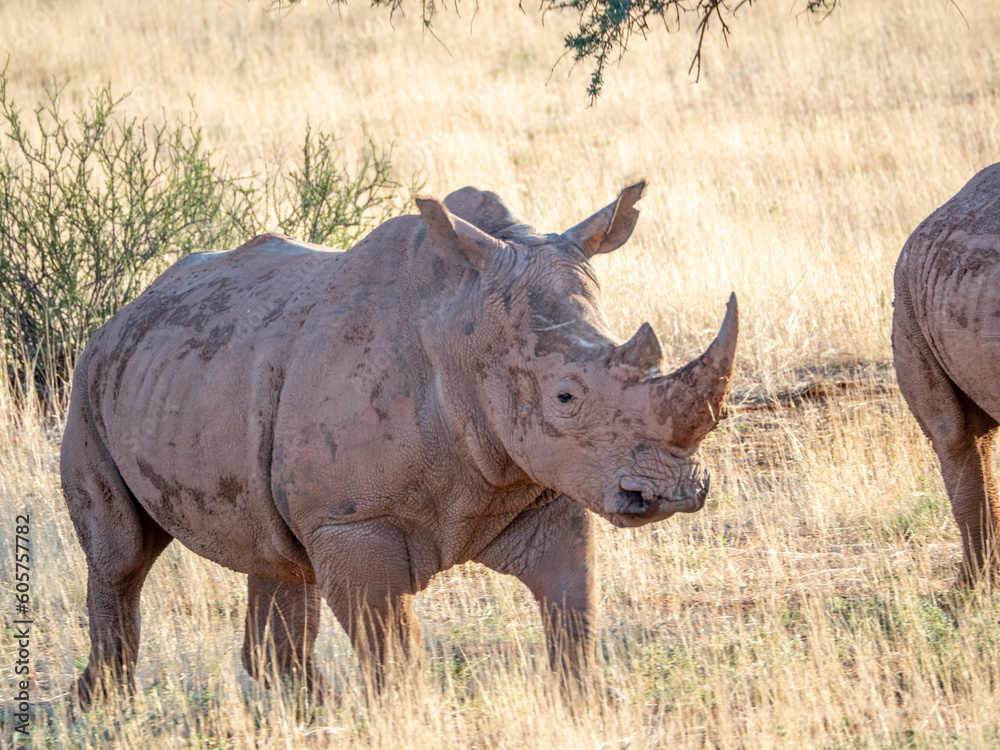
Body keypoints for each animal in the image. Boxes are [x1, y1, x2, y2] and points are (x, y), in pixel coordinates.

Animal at [61, 181, 738, 704]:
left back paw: (307, 709)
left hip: (199, 373)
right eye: (565, 397)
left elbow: (574, 607)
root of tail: (130, 306)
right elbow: (393, 644)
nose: (677, 493)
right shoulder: (352, 520)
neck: (462, 331)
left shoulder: (544, 483)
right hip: (90, 385)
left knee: (277, 556)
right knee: (121, 556)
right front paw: (410, 716)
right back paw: (104, 706)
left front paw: (590, 701)